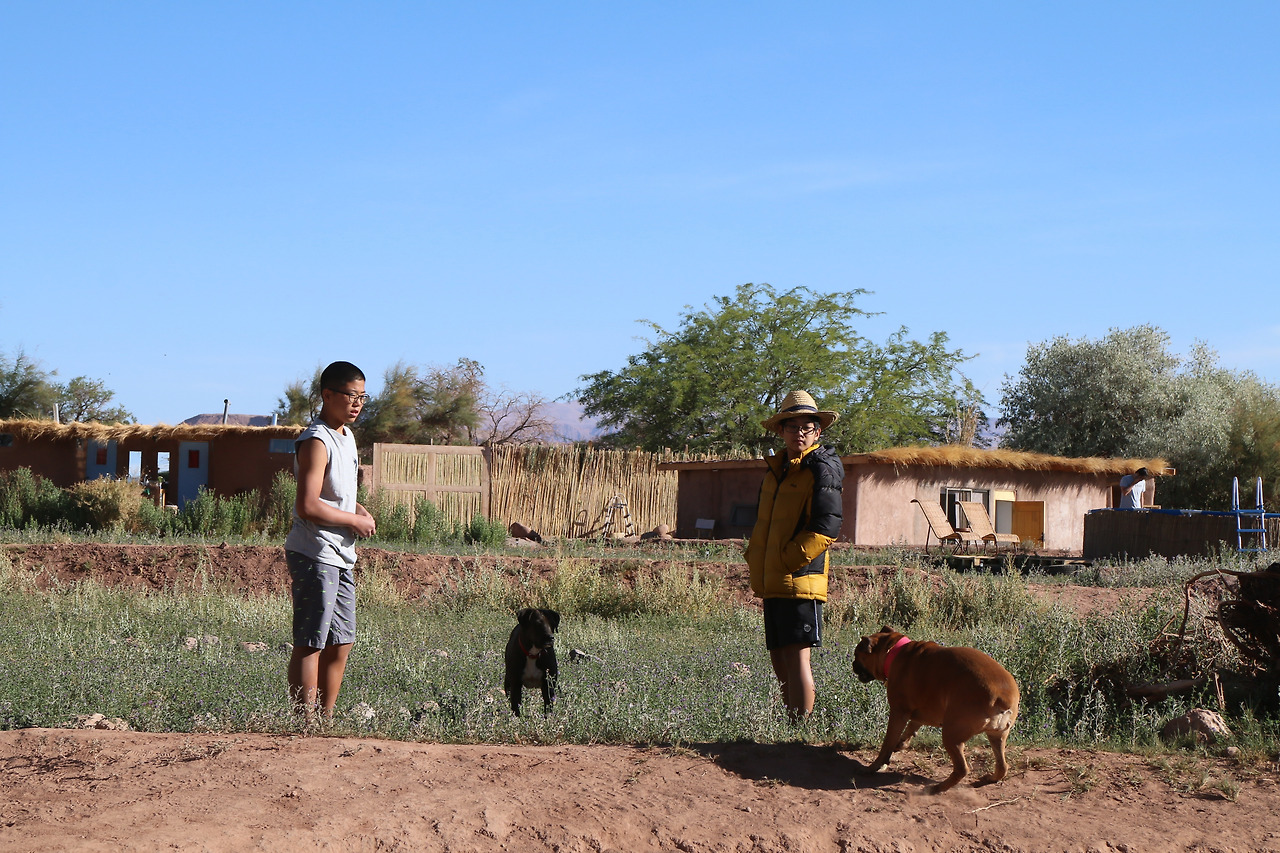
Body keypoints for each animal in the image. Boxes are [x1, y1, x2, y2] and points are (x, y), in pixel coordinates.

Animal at [853, 625, 1019, 794]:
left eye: (856, 655)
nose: (852, 664)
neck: (894, 650)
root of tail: (1002, 696)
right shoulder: (921, 713)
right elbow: (911, 728)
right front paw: (901, 743)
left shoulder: (898, 713)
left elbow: (887, 744)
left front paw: (873, 767)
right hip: (997, 736)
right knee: (1002, 766)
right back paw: (990, 778)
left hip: (952, 735)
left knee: (962, 769)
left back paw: (937, 788)